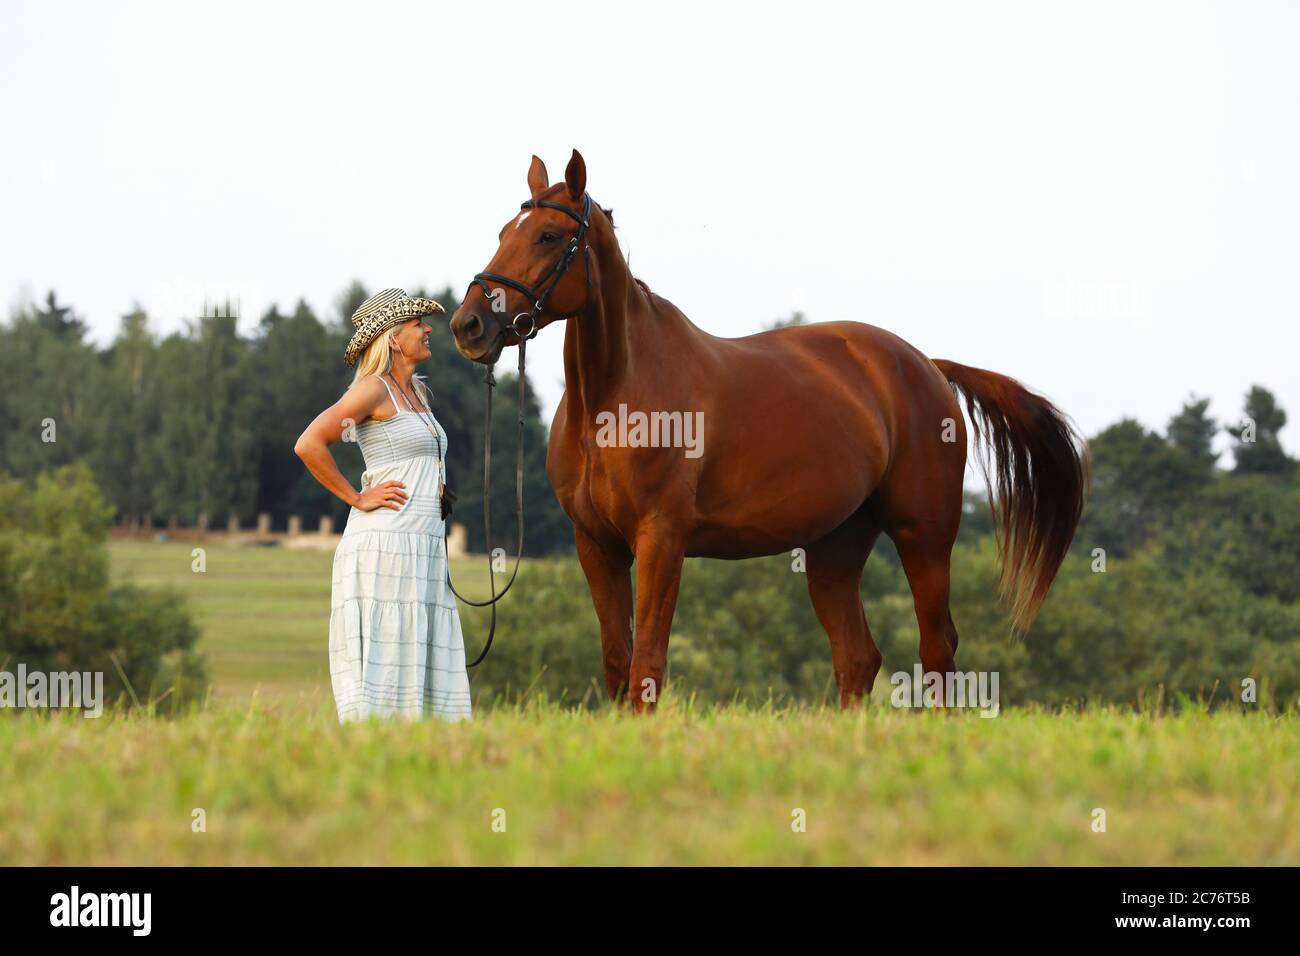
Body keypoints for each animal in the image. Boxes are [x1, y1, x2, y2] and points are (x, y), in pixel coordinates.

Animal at [452, 149, 1092, 712]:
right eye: (505, 229)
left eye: (548, 236)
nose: (470, 325)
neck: (611, 401)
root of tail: (928, 366)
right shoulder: (596, 544)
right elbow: (617, 662)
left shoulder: (662, 539)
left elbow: (647, 666)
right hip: (835, 548)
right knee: (858, 657)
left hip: (924, 536)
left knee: (938, 650)